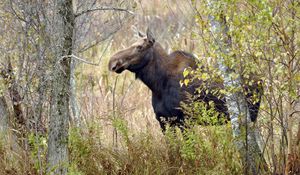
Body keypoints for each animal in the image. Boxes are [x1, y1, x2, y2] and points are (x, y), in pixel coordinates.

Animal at [109, 29, 262, 131]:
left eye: (139, 47)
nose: (112, 61)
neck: (157, 85)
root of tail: (260, 78)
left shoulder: (185, 120)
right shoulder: (163, 121)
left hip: (252, 113)